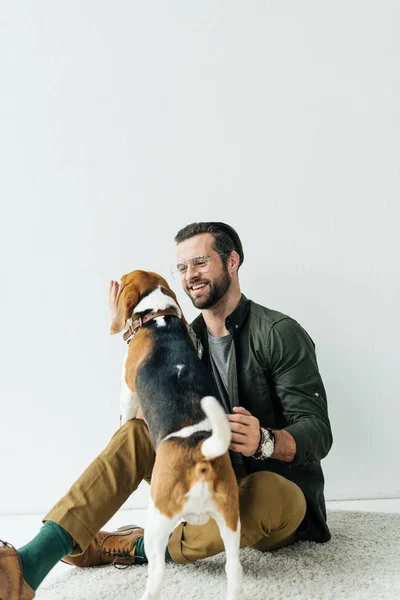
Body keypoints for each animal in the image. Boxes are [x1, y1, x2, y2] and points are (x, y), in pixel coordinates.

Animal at [110, 272, 244, 600]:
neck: (159, 318)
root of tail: (202, 454)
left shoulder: (128, 389)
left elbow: (126, 412)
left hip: (157, 521)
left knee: (157, 574)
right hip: (230, 520)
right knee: (234, 570)